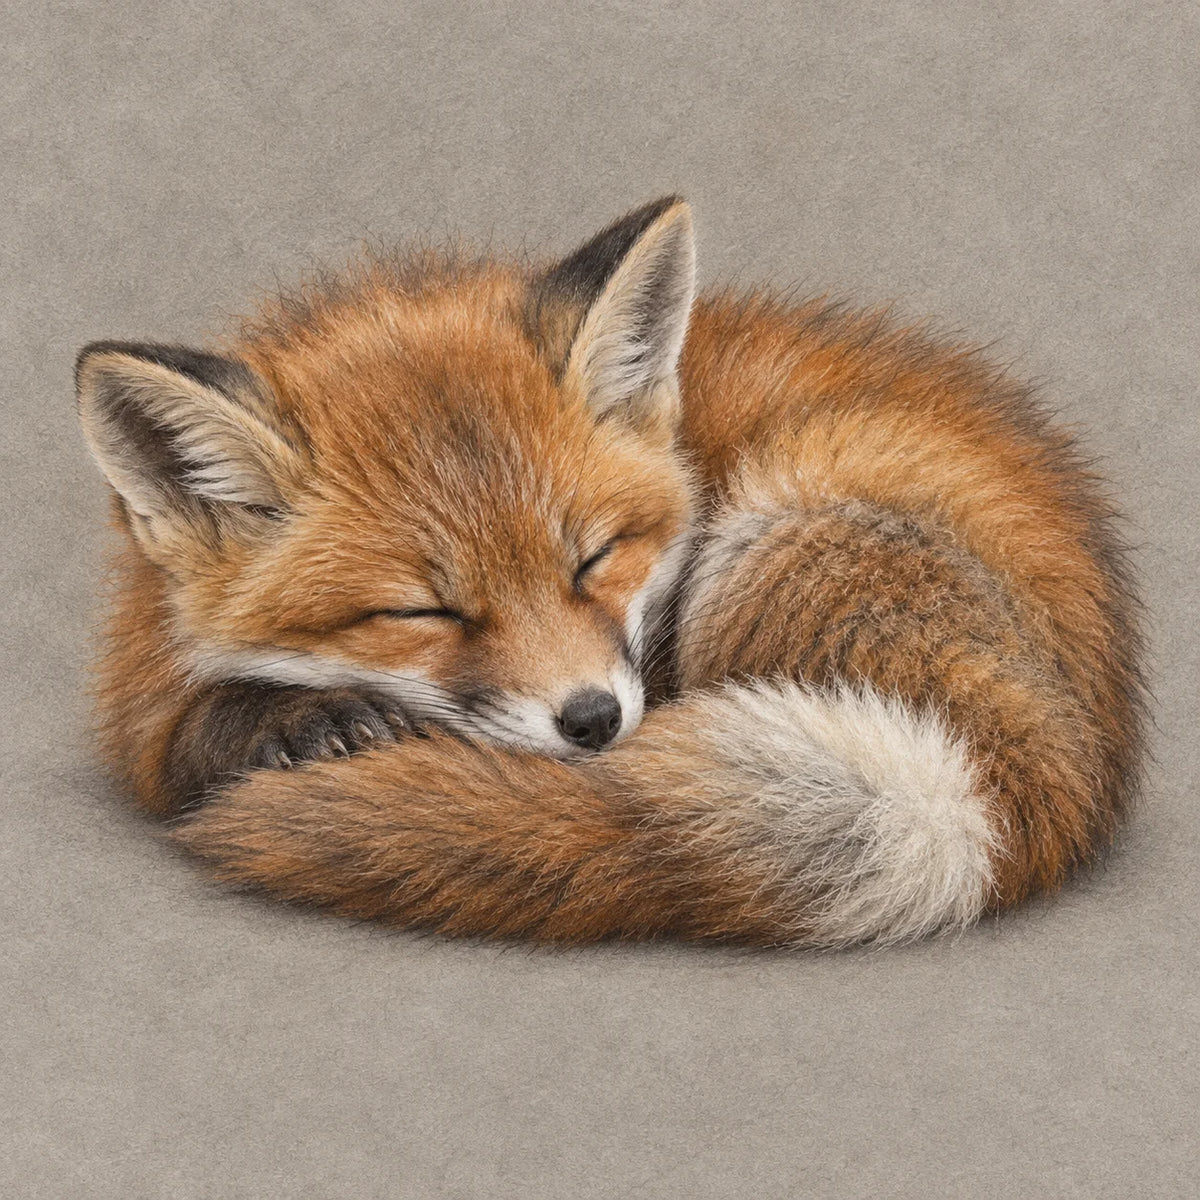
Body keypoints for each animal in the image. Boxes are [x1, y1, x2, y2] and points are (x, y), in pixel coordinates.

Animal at [75, 197, 1144, 947]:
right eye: (426, 612)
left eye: (592, 560)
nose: (591, 721)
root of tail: (1015, 789)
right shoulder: (143, 679)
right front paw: (298, 722)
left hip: (771, 548)